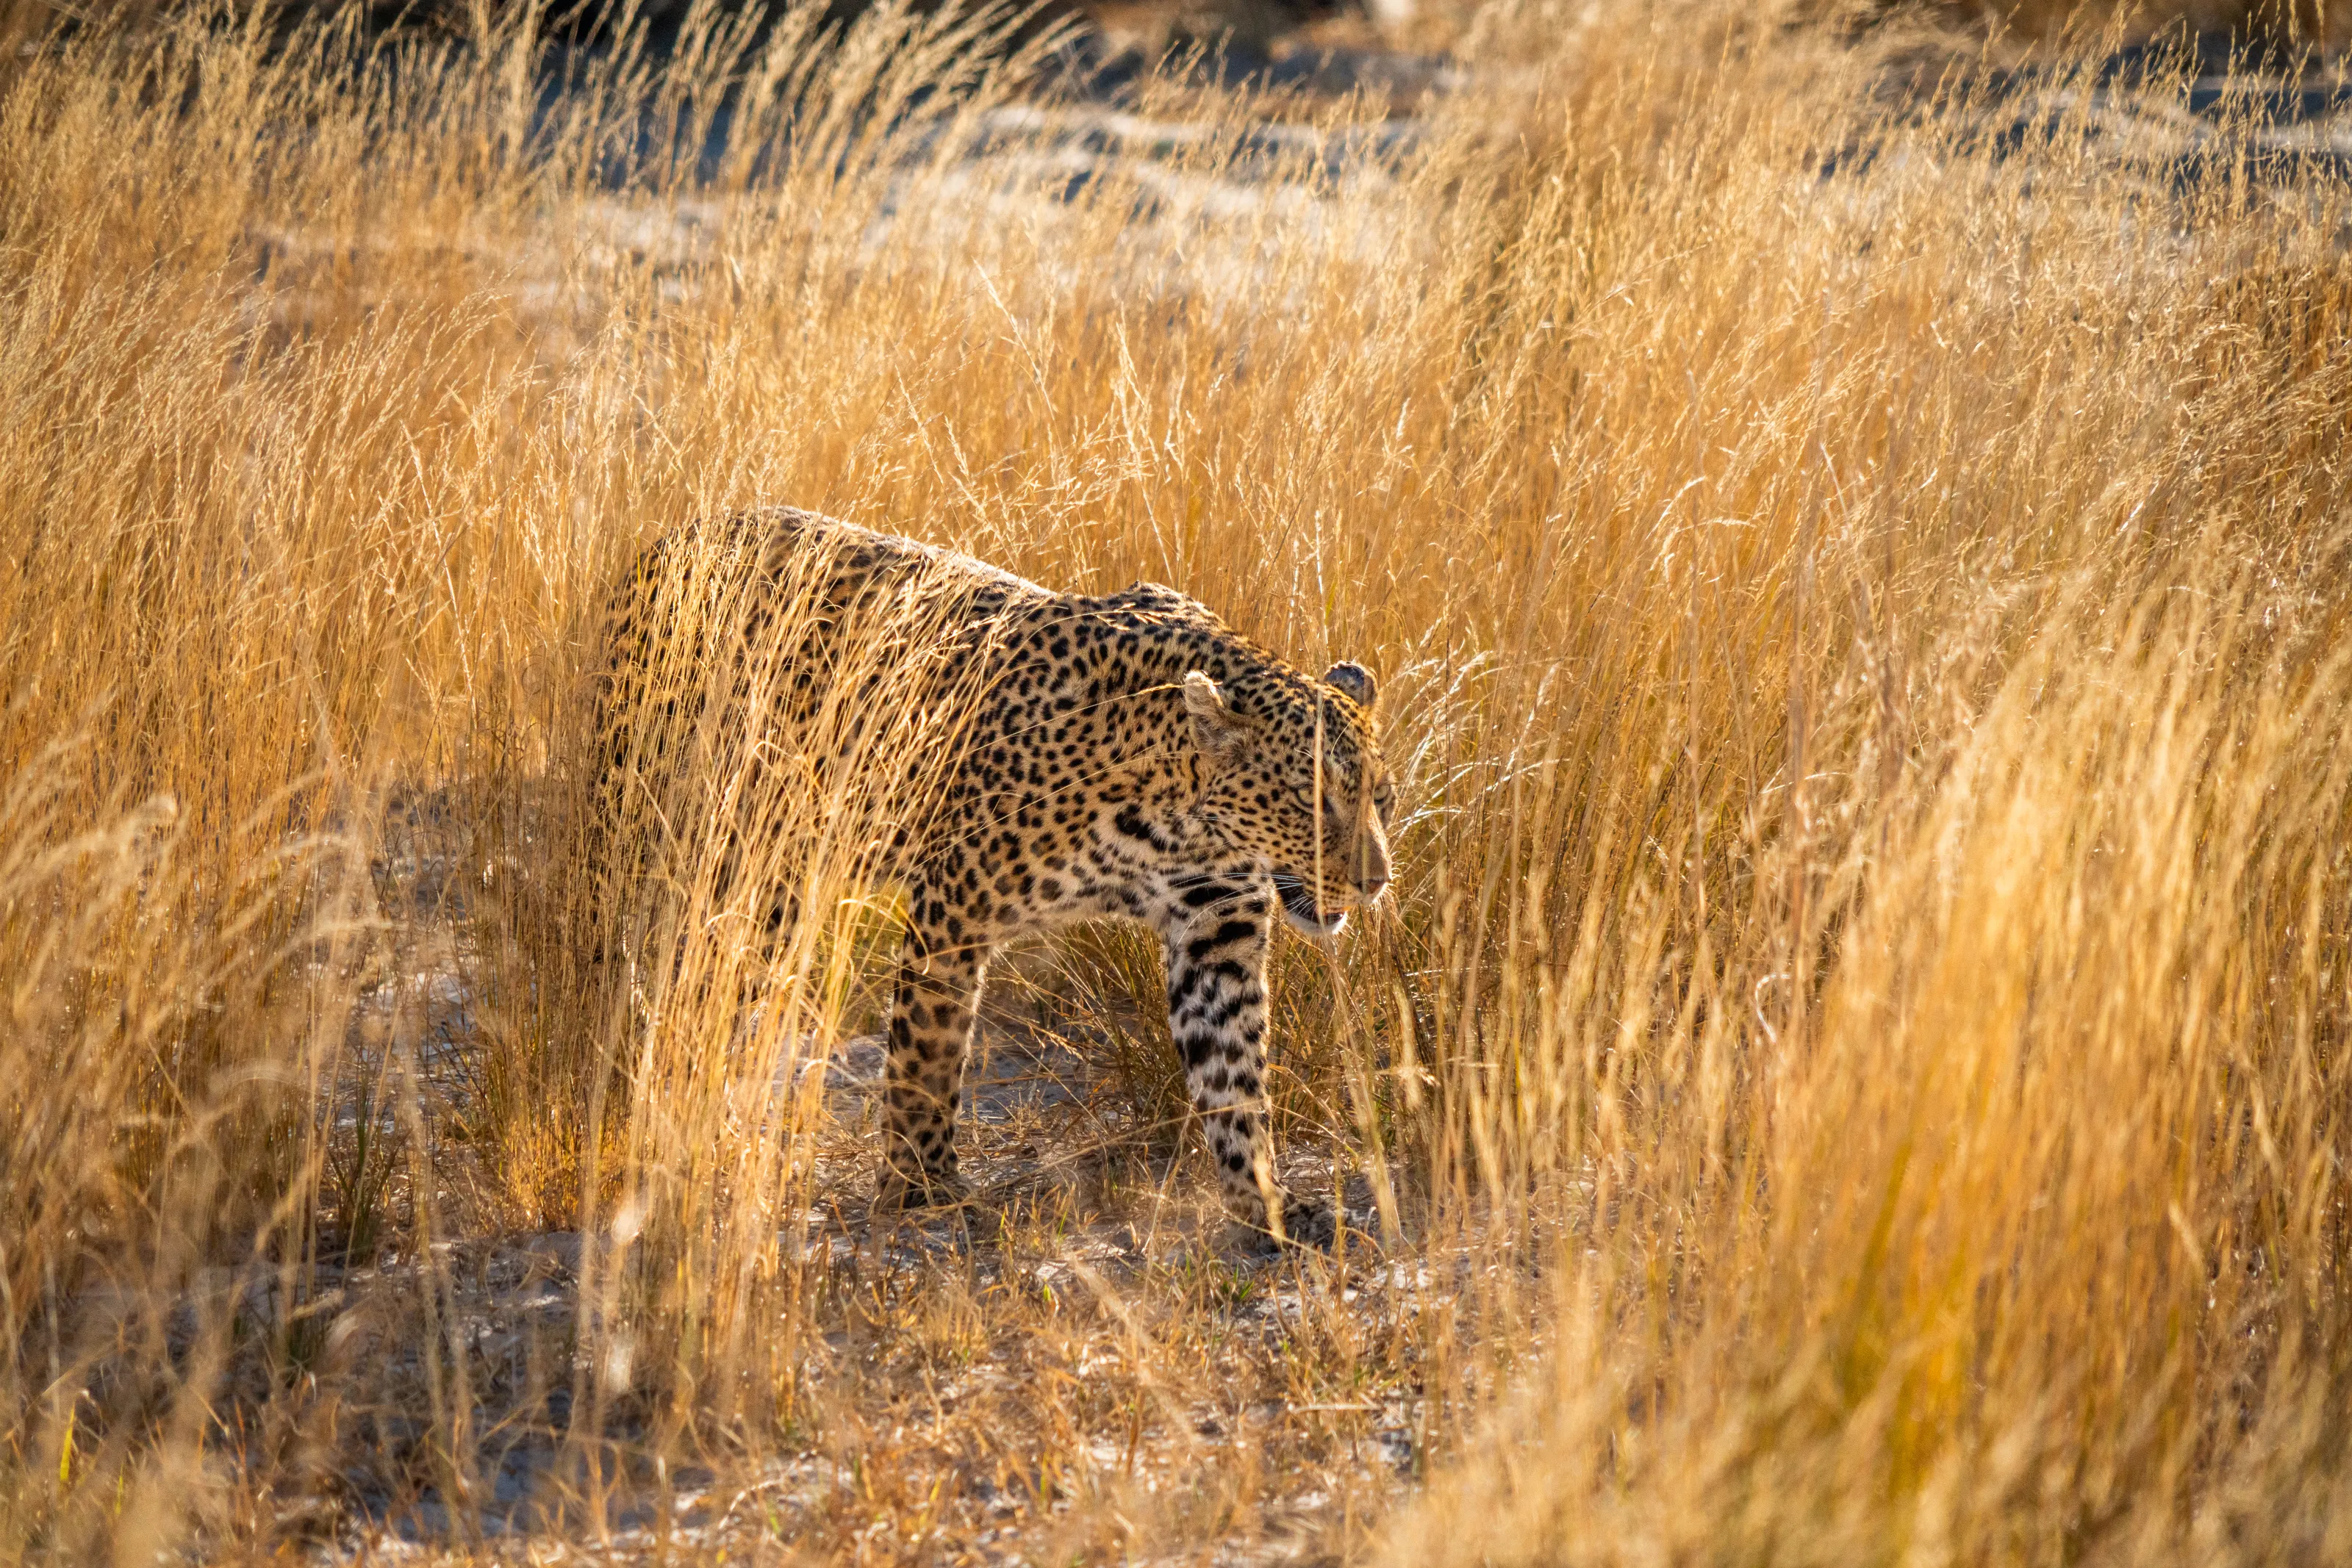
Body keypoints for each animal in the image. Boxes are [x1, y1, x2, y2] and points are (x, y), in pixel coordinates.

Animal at [596, 507, 1394, 1247]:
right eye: (1311, 800)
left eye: (1379, 797)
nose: (1376, 882)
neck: (1178, 819)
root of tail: (678, 534)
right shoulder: (953, 909)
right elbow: (927, 1055)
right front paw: (921, 1186)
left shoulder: (1215, 935)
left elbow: (1232, 1075)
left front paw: (1264, 1201)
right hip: (678, 832)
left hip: (778, 881)